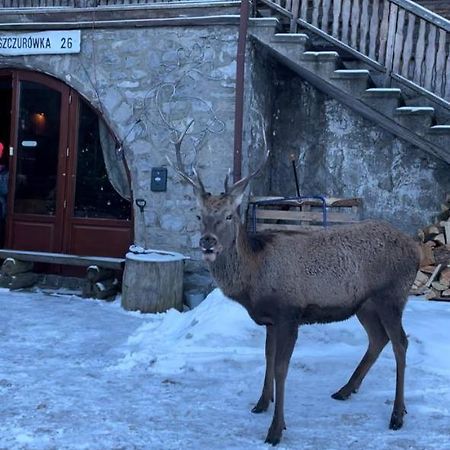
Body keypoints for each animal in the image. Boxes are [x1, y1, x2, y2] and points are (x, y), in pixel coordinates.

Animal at [170, 120, 422, 446]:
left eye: (228, 216)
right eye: (199, 215)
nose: (208, 242)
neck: (254, 279)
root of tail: (416, 250)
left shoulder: (289, 313)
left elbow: (281, 368)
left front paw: (276, 430)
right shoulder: (270, 320)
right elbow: (267, 357)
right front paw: (261, 403)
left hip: (392, 295)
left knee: (401, 342)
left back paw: (397, 415)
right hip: (364, 304)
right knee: (378, 339)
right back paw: (345, 389)